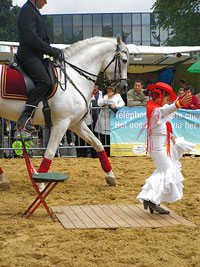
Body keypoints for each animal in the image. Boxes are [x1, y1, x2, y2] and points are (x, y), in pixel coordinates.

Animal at [0, 35, 128, 187]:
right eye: (125, 60)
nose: (124, 86)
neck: (75, 77)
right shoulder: (61, 123)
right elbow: (49, 152)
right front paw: (40, 182)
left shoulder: (76, 124)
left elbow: (98, 143)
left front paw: (110, 176)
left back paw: (3, 179)